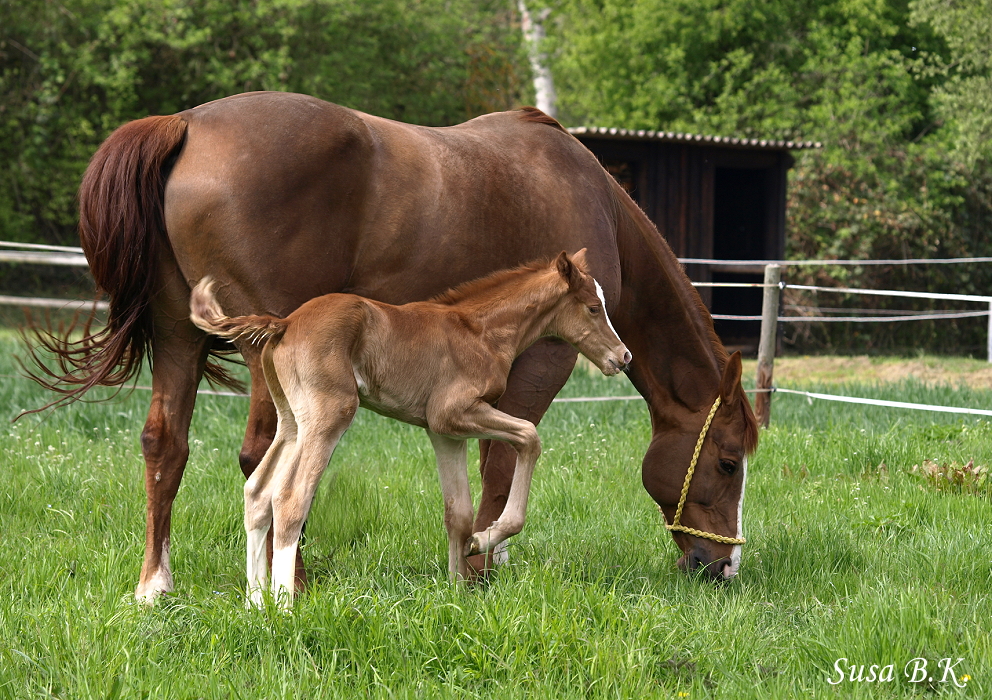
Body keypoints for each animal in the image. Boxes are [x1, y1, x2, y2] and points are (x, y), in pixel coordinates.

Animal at [190, 249, 632, 604]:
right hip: (329, 415)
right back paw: (283, 608)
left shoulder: (444, 432)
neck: (481, 332)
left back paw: (256, 603)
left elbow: (458, 513)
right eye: (593, 308)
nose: (623, 356)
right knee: (290, 498)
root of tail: (284, 324)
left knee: (258, 491)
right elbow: (530, 436)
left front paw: (457, 592)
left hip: (292, 422)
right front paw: (487, 539)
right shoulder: (454, 413)